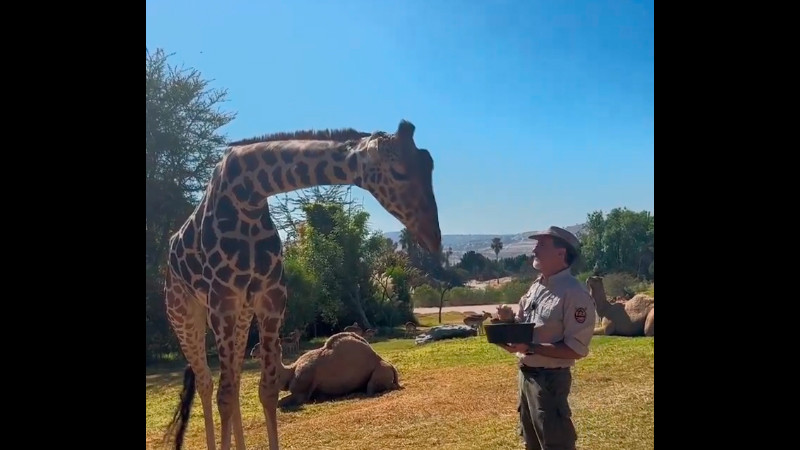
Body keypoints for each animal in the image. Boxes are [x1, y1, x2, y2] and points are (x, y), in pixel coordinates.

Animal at [163, 119, 441, 450]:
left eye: (429, 165)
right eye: (398, 171)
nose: (433, 237)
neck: (249, 194)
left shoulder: (270, 299)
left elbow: (266, 390)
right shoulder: (222, 300)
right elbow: (225, 395)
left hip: (242, 316)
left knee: (234, 379)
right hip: (184, 313)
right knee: (207, 382)